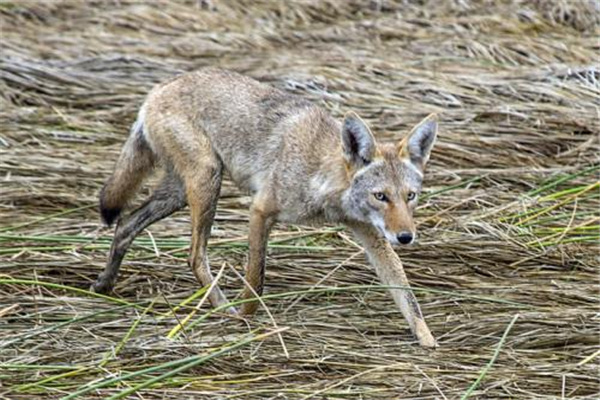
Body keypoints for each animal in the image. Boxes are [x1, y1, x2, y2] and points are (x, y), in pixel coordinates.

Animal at [95, 69, 440, 346]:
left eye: (410, 196)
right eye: (381, 196)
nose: (406, 237)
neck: (321, 174)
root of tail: (158, 89)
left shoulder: (371, 235)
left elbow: (406, 294)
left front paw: (428, 341)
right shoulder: (260, 211)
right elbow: (256, 281)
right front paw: (246, 320)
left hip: (180, 193)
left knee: (125, 225)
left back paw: (103, 286)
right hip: (207, 182)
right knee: (194, 256)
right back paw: (224, 308)